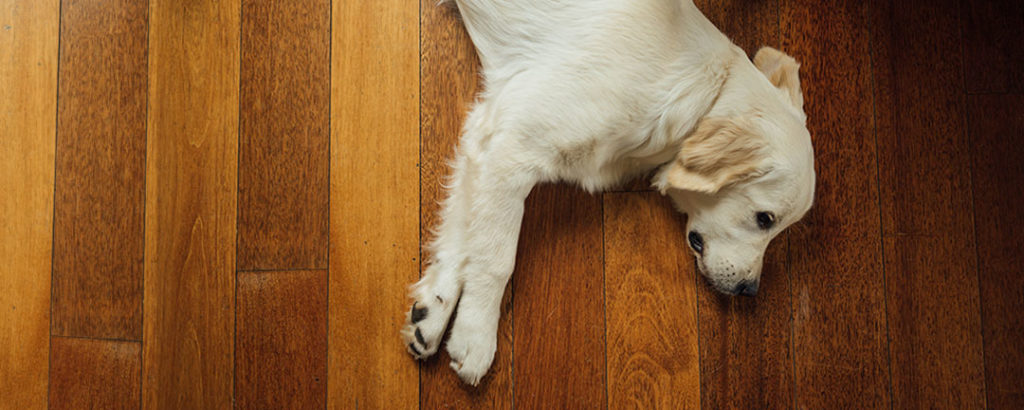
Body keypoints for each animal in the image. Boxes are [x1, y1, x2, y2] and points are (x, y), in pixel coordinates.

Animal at [399, 0, 815, 385]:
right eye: (765, 219)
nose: (749, 290)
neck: (701, 94)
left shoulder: (485, 137)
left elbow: (461, 242)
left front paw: (431, 315)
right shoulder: (514, 151)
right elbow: (496, 259)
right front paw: (475, 337)